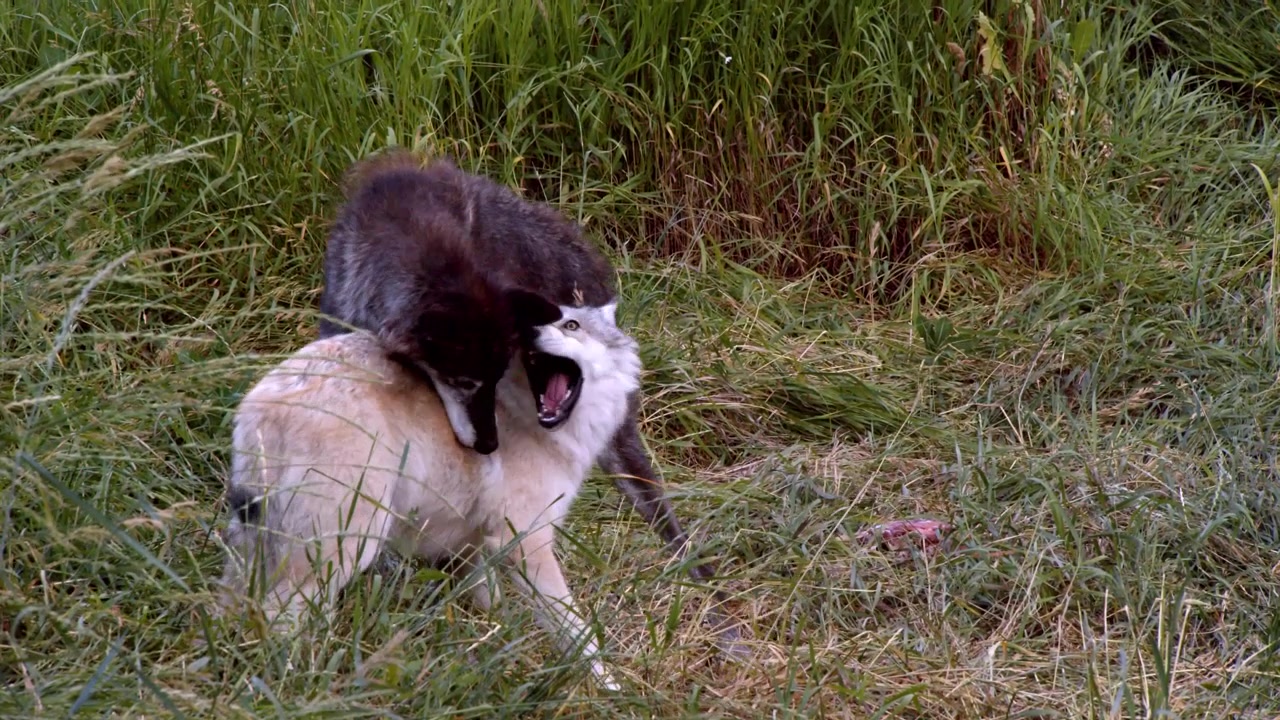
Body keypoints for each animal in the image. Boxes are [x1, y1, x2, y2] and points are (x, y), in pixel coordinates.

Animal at [221, 300, 638, 690]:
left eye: (571, 325)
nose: (532, 333)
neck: (523, 416)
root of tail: (264, 399)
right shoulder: (524, 542)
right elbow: (577, 631)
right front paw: (608, 687)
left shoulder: (474, 547)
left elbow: (491, 603)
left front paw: (498, 642)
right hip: (347, 545)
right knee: (278, 611)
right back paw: (300, 677)